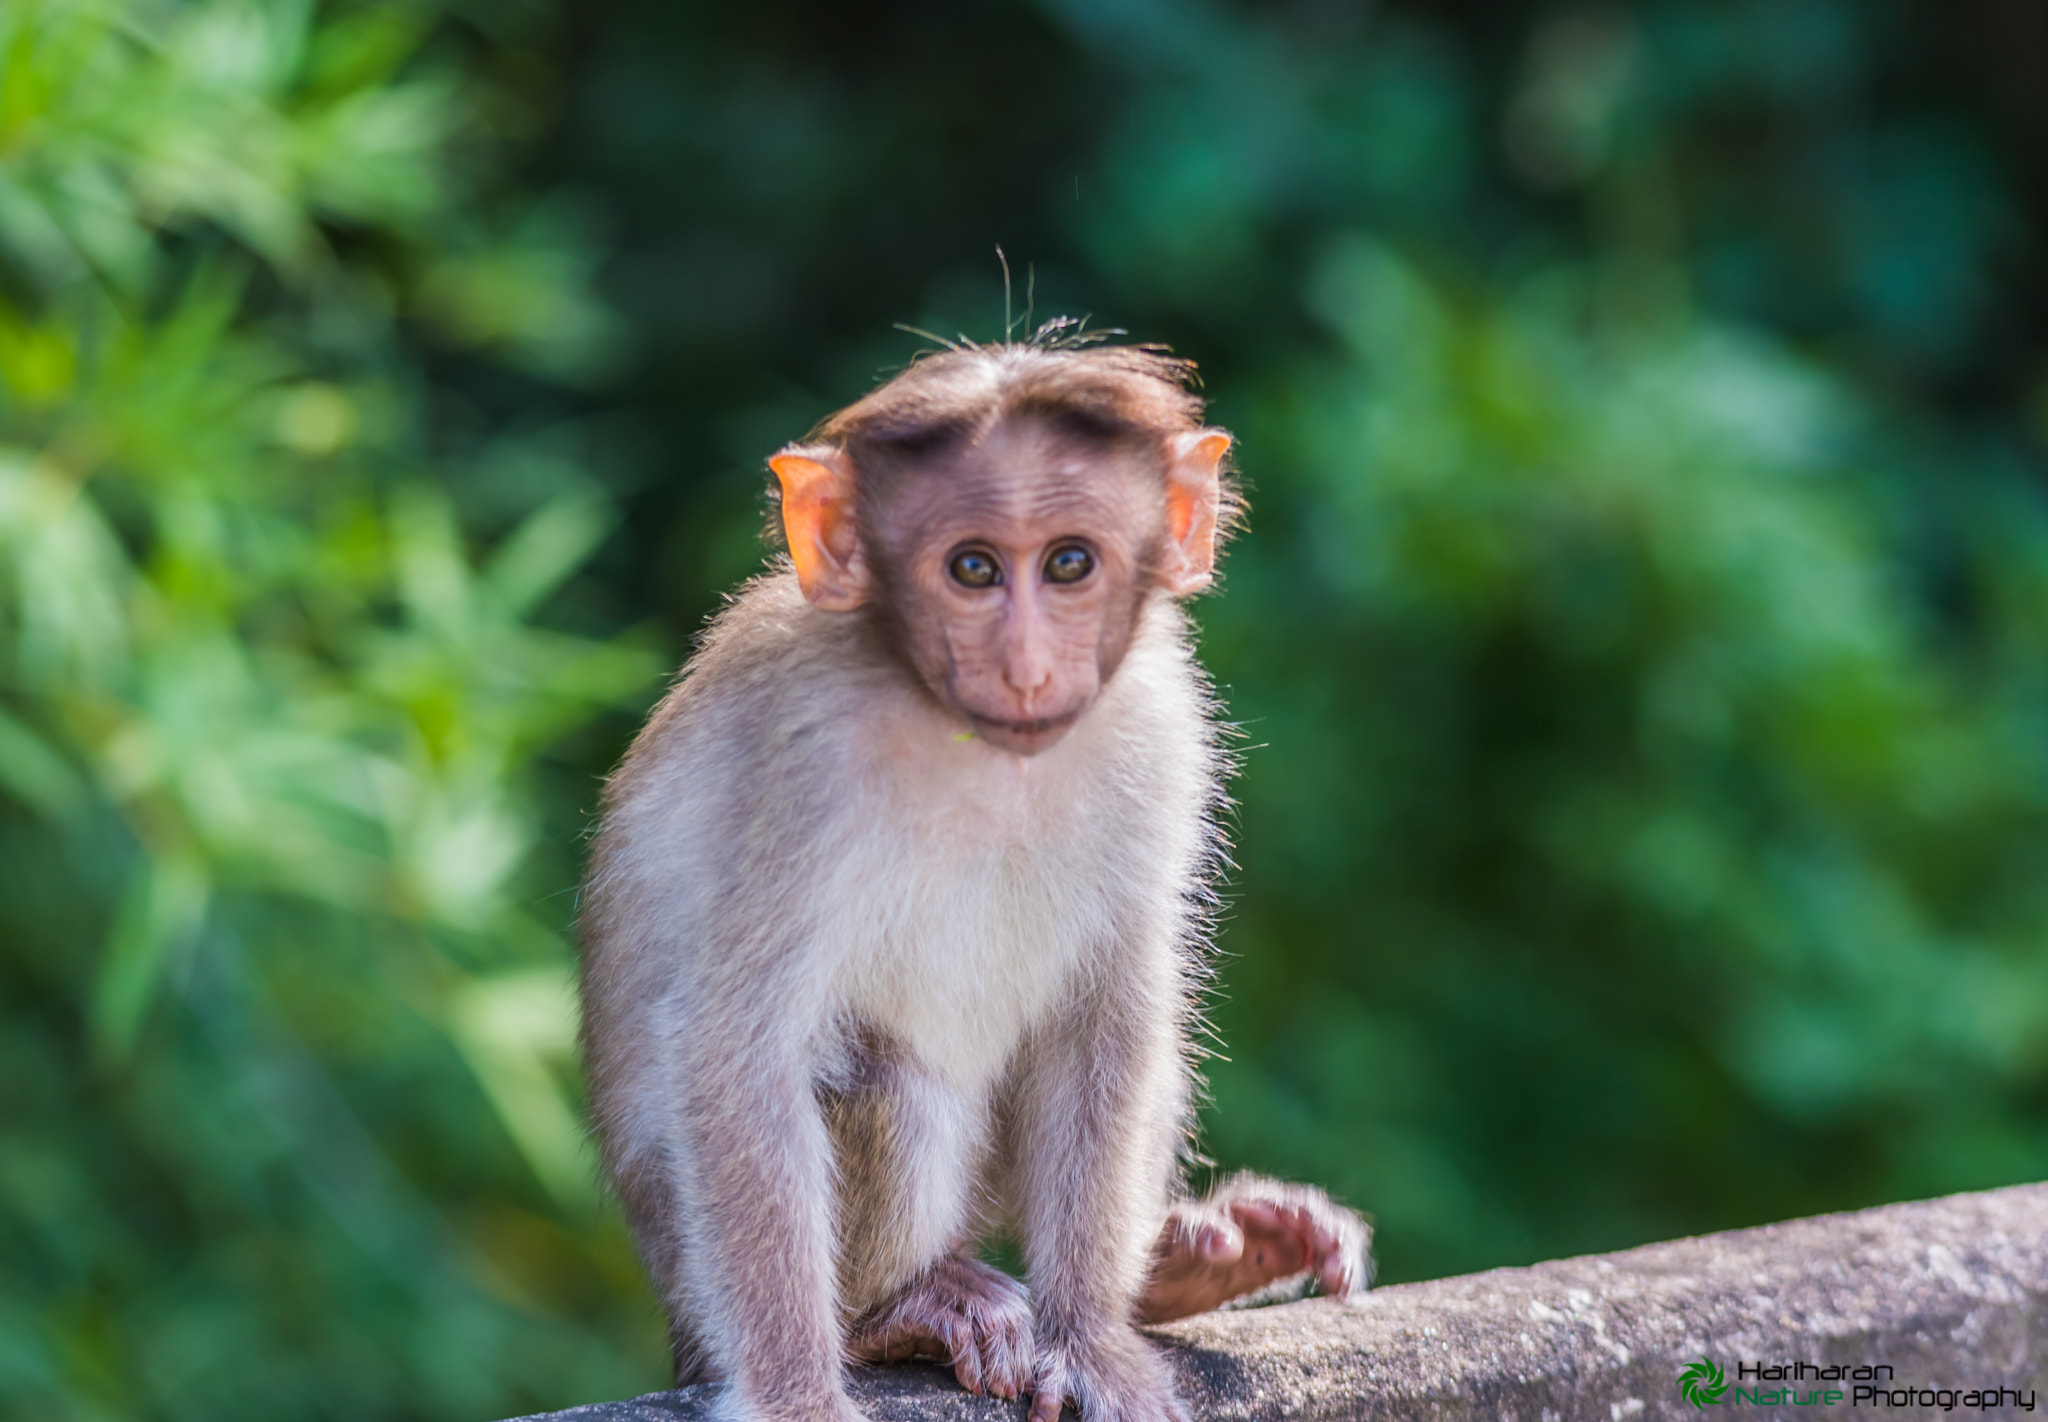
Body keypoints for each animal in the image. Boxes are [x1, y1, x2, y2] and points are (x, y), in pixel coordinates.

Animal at [578, 333, 1369, 1422]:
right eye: (972, 569)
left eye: (1070, 563)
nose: (1028, 667)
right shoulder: (803, 763)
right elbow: (735, 1049)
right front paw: (797, 1396)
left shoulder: (1158, 724)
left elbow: (1111, 1003)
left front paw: (1091, 1339)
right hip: (705, 1284)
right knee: (884, 1080)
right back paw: (898, 1310)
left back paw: (1186, 1267)